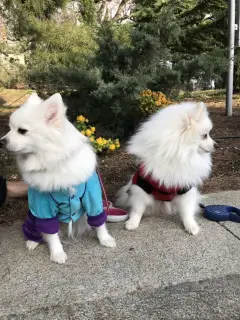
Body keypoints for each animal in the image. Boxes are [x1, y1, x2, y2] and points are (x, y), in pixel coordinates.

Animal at [0, 92, 116, 262]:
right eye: (10, 129)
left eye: (22, 131)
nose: (1, 141)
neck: (55, 162)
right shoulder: (44, 208)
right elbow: (52, 234)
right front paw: (57, 253)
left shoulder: (92, 198)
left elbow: (99, 222)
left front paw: (105, 239)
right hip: (32, 218)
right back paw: (32, 241)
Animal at [116, 102, 216, 235]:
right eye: (205, 136)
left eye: (208, 134)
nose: (216, 145)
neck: (177, 155)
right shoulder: (143, 187)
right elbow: (138, 209)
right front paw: (133, 223)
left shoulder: (184, 188)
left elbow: (187, 211)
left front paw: (191, 226)